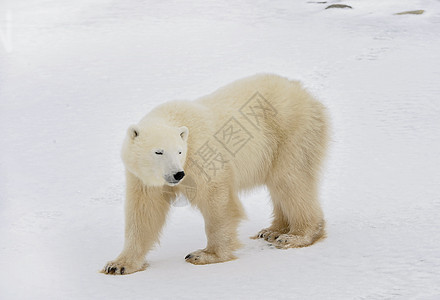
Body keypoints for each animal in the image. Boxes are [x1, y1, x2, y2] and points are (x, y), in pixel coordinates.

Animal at [103, 74, 328, 274]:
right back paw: (272, 231)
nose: (178, 174)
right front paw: (118, 265)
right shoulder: (142, 178)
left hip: (291, 132)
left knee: (290, 180)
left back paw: (296, 235)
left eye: (179, 151)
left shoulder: (201, 154)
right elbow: (144, 213)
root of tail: (304, 93)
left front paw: (205, 255)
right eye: (159, 151)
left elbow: (216, 199)